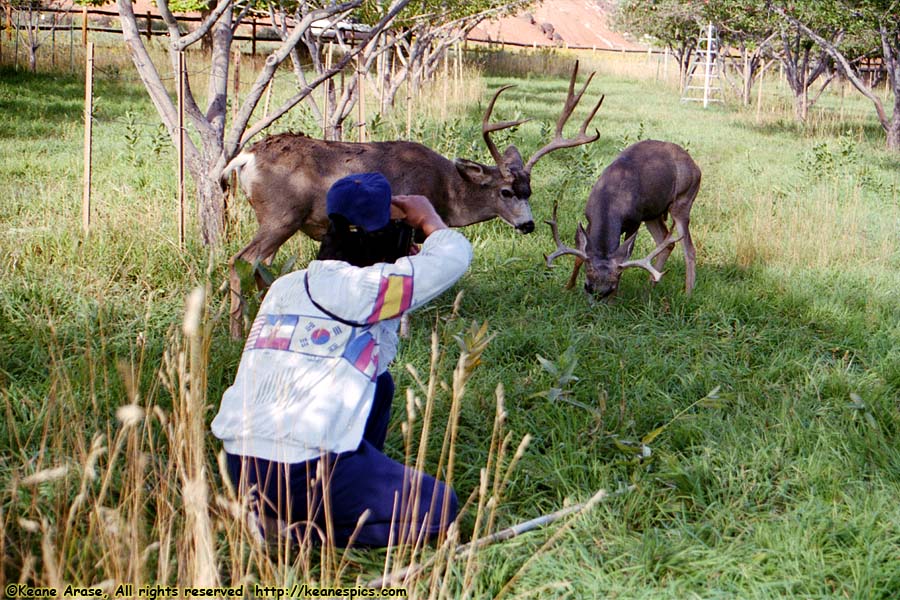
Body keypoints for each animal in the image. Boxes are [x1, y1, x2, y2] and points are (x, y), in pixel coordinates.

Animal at [224, 61, 604, 338]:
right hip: (281, 214)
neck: (447, 192)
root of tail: (245, 157)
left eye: (530, 191)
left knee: (260, 266)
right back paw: (236, 333)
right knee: (240, 261)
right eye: (506, 191)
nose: (528, 224)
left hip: (282, 220)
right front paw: (403, 333)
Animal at [540, 141, 704, 300]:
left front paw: (615, 299)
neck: (610, 198)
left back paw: (687, 294)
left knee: (689, 249)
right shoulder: (589, 219)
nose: (599, 296)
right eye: (587, 286)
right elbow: (579, 256)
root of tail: (696, 167)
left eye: (610, 288)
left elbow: (625, 258)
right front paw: (567, 288)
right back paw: (648, 287)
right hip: (652, 213)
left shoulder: (634, 221)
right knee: (666, 242)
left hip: (683, 201)